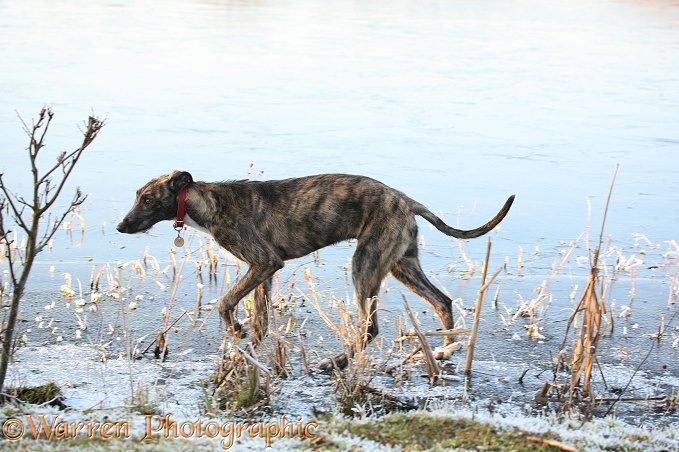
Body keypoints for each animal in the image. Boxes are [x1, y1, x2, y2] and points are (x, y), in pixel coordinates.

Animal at [118, 171, 516, 370]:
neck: (209, 201)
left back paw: (335, 363)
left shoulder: (264, 262)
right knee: (443, 302)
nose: (121, 226)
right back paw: (445, 352)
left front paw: (236, 332)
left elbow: (224, 302)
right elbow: (261, 321)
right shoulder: (263, 271)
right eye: (137, 195)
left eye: (148, 199)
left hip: (365, 265)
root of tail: (406, 200)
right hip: (401, 263)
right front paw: (245, 348)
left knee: (370, 328)